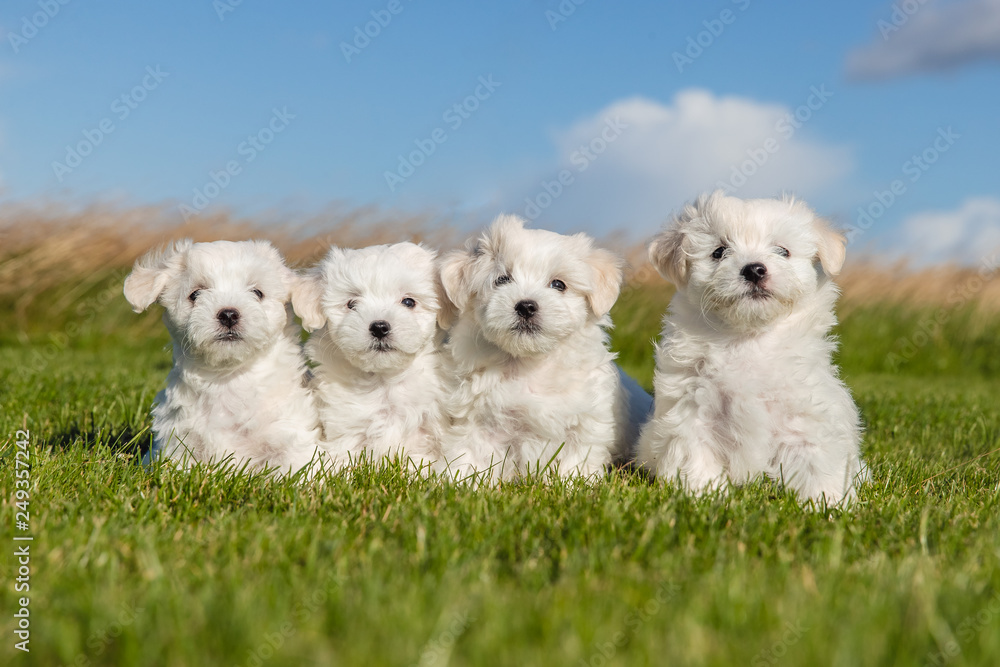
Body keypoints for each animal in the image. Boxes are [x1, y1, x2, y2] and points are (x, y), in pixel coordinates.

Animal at [124, 240, 320, 474]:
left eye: (257, 292)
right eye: (195, 294)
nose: (228, 314)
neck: (228, 377)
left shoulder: (290, 438)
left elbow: (294, 472)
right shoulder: (179, 442)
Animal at [438, 217, 648, 482]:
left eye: (559, 284)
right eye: (502, 280)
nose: (526, 306)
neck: (531, 363)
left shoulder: (586, 422)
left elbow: (576, 460)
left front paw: (574, 485)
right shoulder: (478, 421)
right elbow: (470, 457)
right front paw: (460, 482)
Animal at [640, 193, 868, 506]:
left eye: (783, 251)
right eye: (719, 251)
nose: (754, 269)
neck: (748, 337)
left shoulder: (807, 416)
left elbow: (816, 462)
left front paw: (827, 503)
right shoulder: (692, 410)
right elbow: (696, 457)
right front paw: (704, 497)